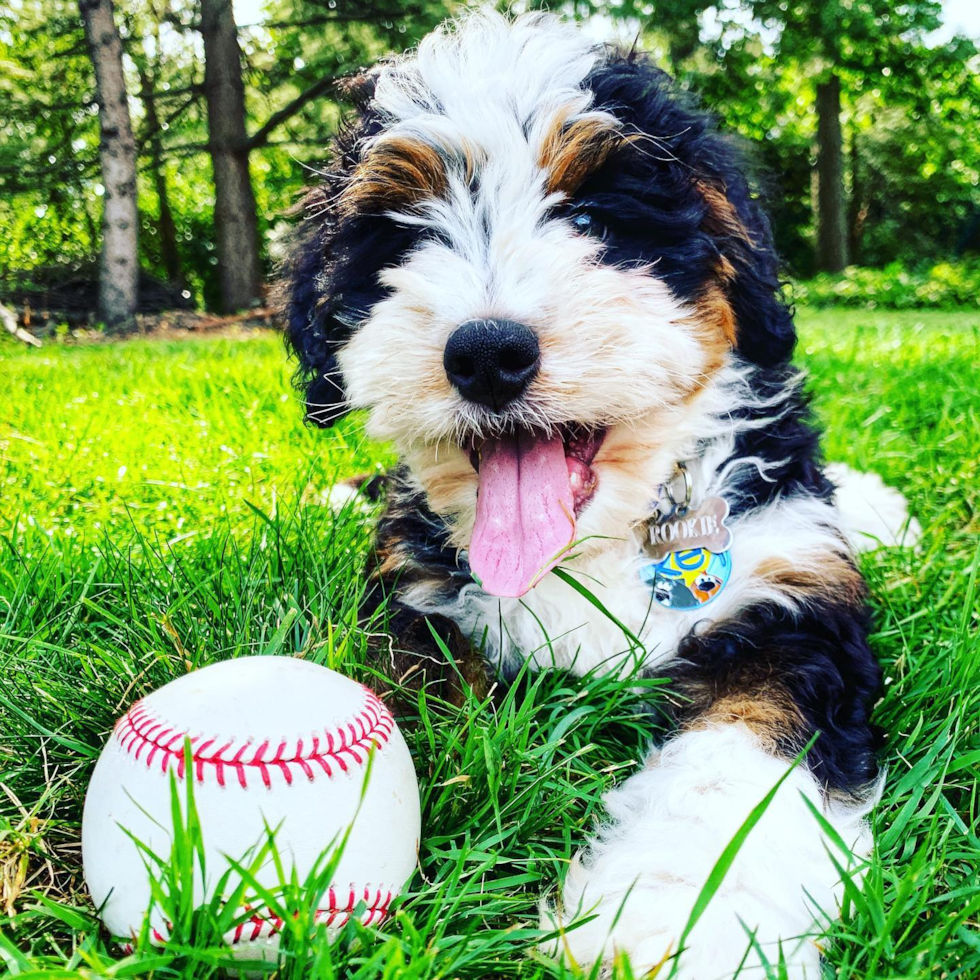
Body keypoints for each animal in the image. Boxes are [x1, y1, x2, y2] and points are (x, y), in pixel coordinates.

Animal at [280, 11, 916, 976]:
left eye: (589, 217)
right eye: (406, 239)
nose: (487, 352)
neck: (604, 538)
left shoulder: (793, 602)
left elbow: (739, 763)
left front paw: (674, 923)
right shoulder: (410, 595)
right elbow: (415, 699)